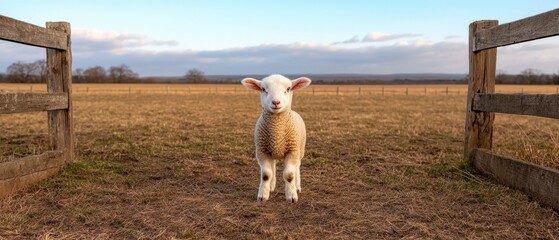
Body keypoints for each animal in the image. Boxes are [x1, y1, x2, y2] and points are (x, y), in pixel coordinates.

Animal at [241, 74, 310, 202]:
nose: (276, 102)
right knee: (272, 166)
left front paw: (291, 196)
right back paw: (272, 187)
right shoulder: (262, 151)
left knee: (297, 167)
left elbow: (289, 175)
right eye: (263, 89)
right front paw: (263, 195)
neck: (277, 131)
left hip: (300, 149)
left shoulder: (292, 151)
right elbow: (266, 174)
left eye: (288, 88)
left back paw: (297, 186)